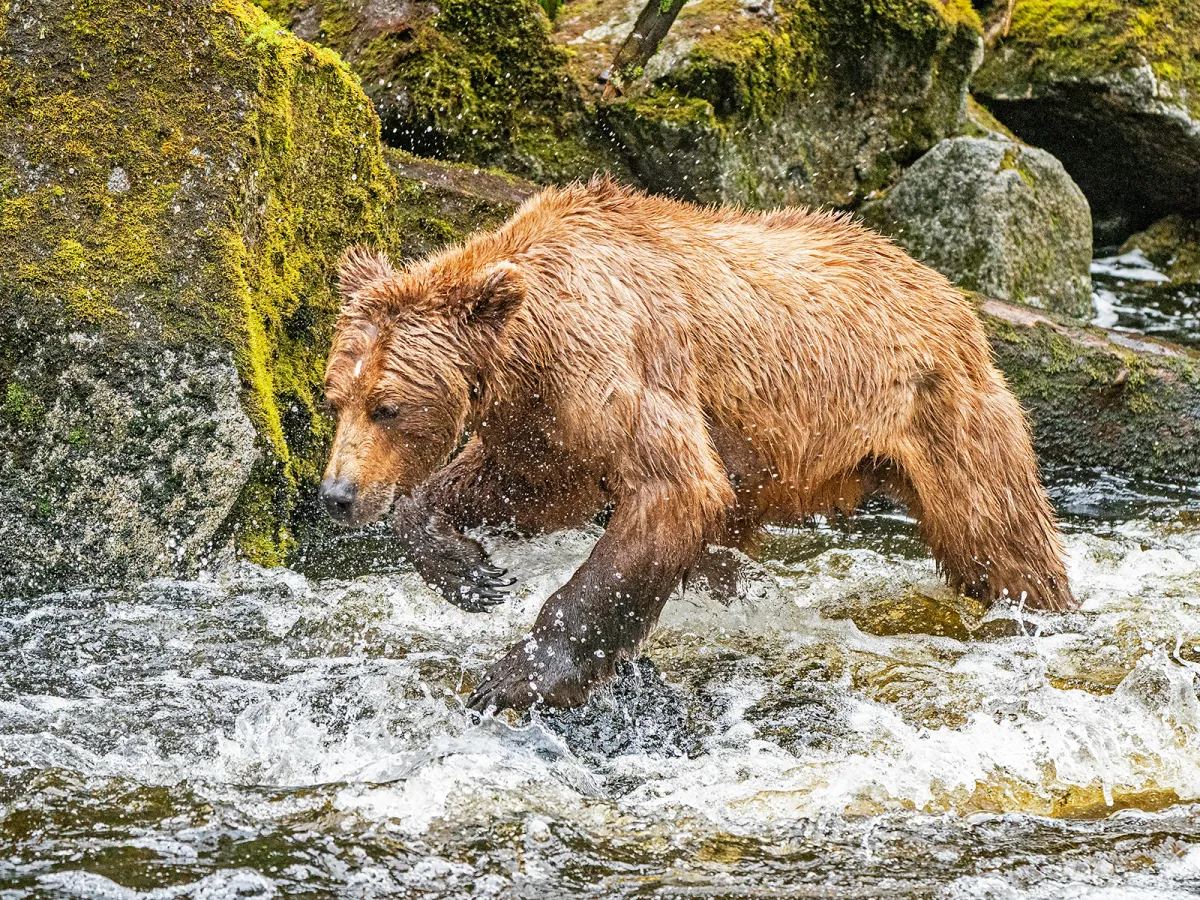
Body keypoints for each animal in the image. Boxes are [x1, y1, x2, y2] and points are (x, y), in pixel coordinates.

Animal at [320, 177, 1075, 712]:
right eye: (335, 398)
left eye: (388, 406)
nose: (337, 495)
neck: (525, 350)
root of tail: (951, 291)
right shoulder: (545, 416)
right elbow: (526, 485)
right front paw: (468, 568)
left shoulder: (613, 365)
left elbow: (674, 489)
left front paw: (517, 675)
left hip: (939, 409)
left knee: (996, 534)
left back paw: (1043, 610)